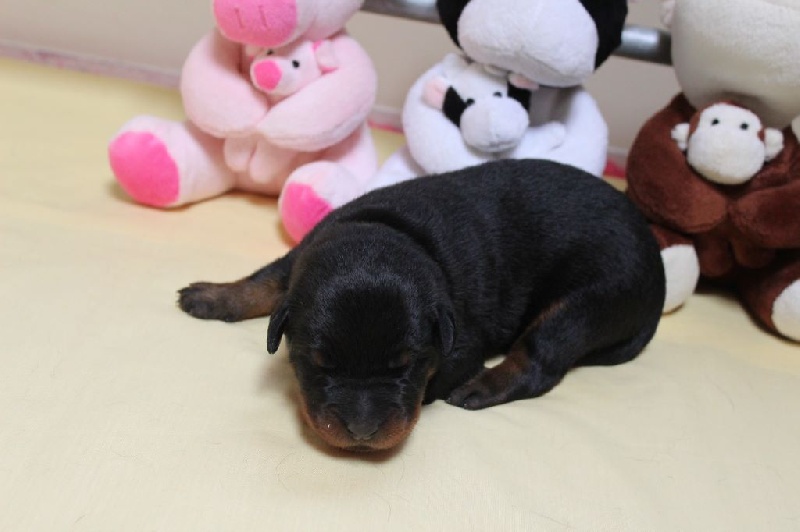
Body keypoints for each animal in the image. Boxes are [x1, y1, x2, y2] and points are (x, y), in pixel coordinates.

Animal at [178, 159, 666, 451]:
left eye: (406, 367)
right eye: (319, 365)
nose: (362, 432)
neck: (390, 230)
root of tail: (657, 267)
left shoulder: (463, 344)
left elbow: (438, 379)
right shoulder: (298, 259)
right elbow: (263, 280)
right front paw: (212, 295)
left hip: (590, 299)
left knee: (540, 358)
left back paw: (482, 387)